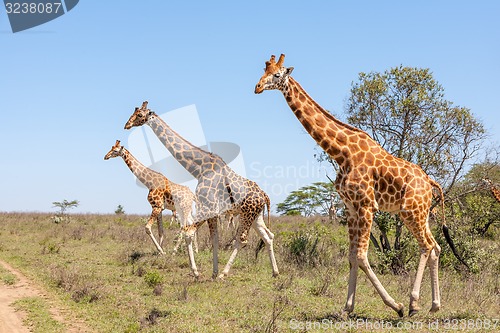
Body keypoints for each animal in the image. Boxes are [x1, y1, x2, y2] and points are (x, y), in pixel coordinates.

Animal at [122, 102, 278, 278]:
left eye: (140, 115)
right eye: (133, 112)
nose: (126, 125)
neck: (199, 169)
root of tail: (264, 196)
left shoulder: (207, 207)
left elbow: (189, 233)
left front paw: (197, 272)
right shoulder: (212, 211)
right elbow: (214, 239)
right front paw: (213, 273)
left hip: (247, 214)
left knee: (242, 239)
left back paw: (224, 273)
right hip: (255, 215)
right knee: (268, 236)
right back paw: (275, 272)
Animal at [256, 53, 462, 316]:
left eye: (277, 74)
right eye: (263, 71)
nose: (257, 87)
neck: (341, 152)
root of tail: (429, 181)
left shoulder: (366, 206)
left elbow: (363, 257)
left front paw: (396, 305)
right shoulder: (351, 208)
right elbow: (352, 257)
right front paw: (347, 308)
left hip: (411, 212)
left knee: (426, 246)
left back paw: (413, 303)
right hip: (421, 212)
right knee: (435, 246)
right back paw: (434, 305)